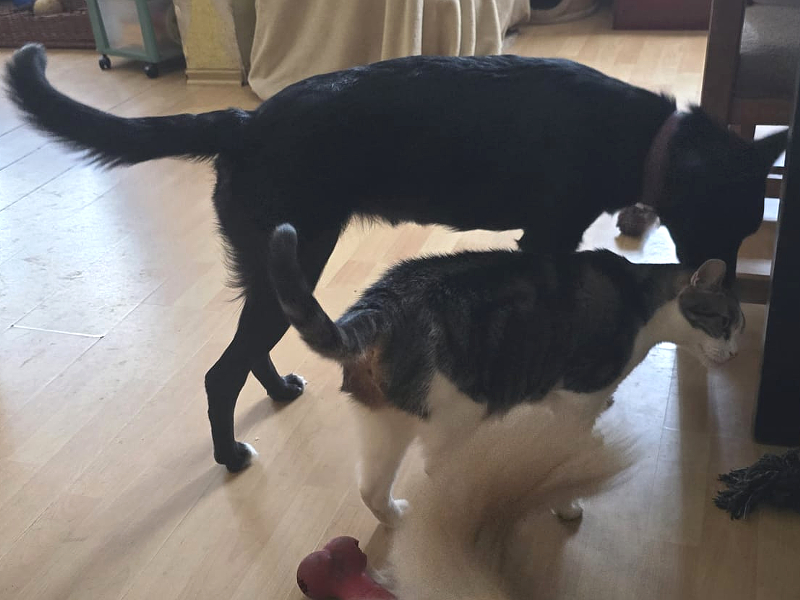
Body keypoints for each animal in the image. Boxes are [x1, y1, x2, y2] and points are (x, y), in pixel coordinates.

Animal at [5, 44, 785, 472]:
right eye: (733, 223)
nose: (726, 297)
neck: (647, 137)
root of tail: (245, 120)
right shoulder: (547, 238)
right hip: (300, 253)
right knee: (221, 371)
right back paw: (229, 456)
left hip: (283, 265)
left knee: (249, 348)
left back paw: (279, 392)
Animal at [268, 223, 743, 525]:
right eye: (725, 323)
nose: (736, 352)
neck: (642, 300)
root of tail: (383, 303)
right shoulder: (578, 398)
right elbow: (566, 455)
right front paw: (566, 501)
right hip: (459, 413)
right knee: (437, 468)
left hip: (385, 420)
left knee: (370, 488)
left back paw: (397, 520)